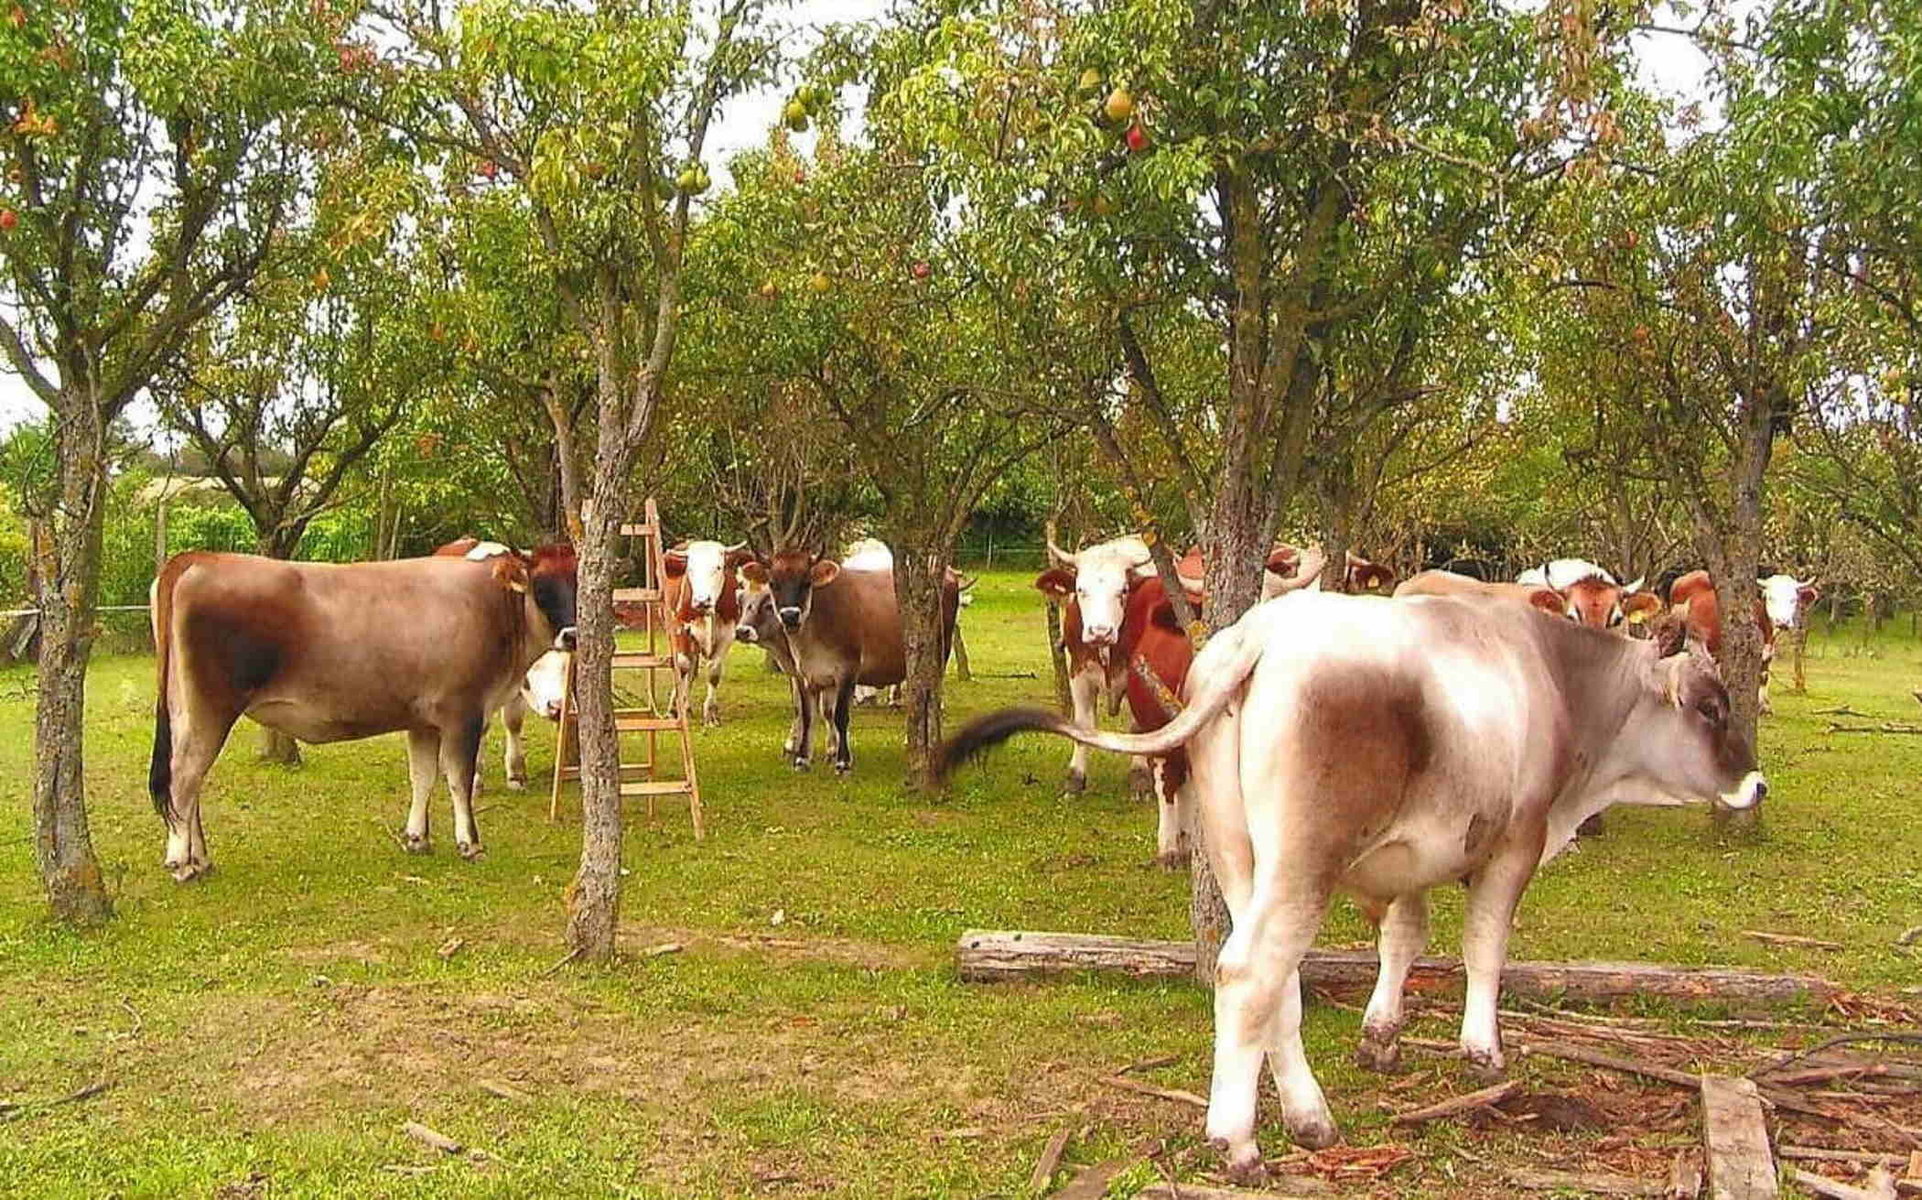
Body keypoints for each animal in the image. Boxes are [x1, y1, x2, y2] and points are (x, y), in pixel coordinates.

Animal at [148, 546, 572, 880]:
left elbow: (422, 777)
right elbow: (458, 780)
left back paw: (200, 859)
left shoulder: (423, 719)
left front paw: (417, 838)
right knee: (184, 777)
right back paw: (181, 863)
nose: (571, 635)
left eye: (577, 582)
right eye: (541, 588)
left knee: (189, 780)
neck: (489, 606)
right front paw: (470, 843)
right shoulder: (462, 712)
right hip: (209, 708)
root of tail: (201, 557)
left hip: (185, 711)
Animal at [661, 542, 749, 726]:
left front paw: (710, 714)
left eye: (718, 567)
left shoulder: (727, 633)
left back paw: (687, 706)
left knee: (693, 670)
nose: (702, 600)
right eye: (690, 569)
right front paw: (674, 709)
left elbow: (714, 671)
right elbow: (682, 667)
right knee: (685, 667)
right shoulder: (681, 628)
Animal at [937, 592, 1760, 1169]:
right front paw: (1482, 1050)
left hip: (1242, 859)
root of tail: (1262, 635)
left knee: (1276, 984)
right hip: (1304, 861)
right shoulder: (1515, 843)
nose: (1754, 785)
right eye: (1712, 707)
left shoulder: (1416, 857)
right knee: (1248, 974)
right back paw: (1238, 1142)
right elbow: (1484, 946)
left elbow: (1404, 938)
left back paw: (1309, 1118)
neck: (1555, 679)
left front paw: (1381, 1035)